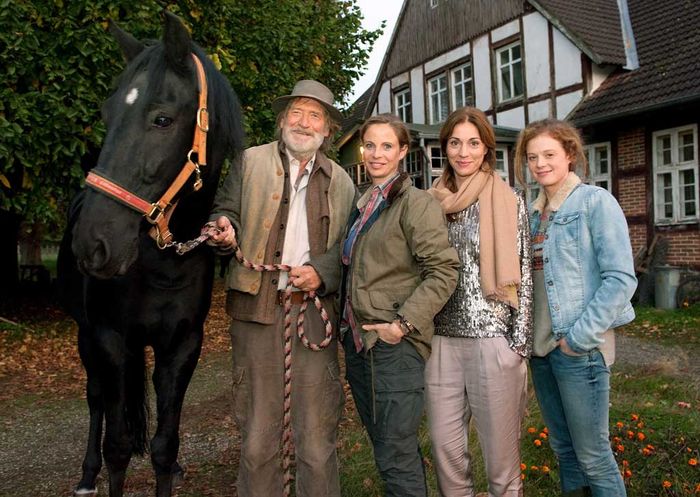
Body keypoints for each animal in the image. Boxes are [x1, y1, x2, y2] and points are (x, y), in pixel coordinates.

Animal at [56, 11, 245, 496]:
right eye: (107, 114)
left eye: (162, 119)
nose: (94, 244)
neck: (163, 264)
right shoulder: (110, 338)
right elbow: (119, 446)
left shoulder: (182, 345)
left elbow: (164, 445)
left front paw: (170, 465)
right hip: (86, 337)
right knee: (96, 400)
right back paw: (86, 475)